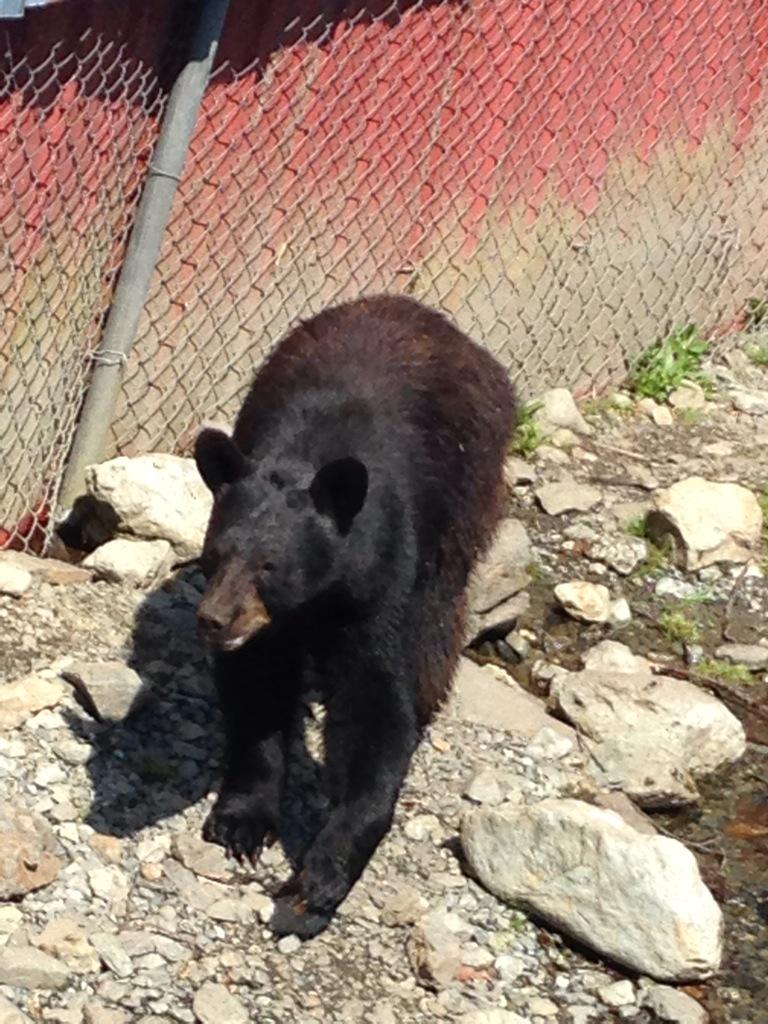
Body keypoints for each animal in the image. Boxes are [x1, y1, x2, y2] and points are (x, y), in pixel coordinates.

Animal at [193, 294, 517, 939]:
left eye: (270, 565)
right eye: (216, 553)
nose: (214, 620)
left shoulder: (382, 585)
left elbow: (376, 708)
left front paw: (317, 882)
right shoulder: (268, 630)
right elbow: (257, 693)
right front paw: (242, 819)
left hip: (466, 501)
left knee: (439, 627)